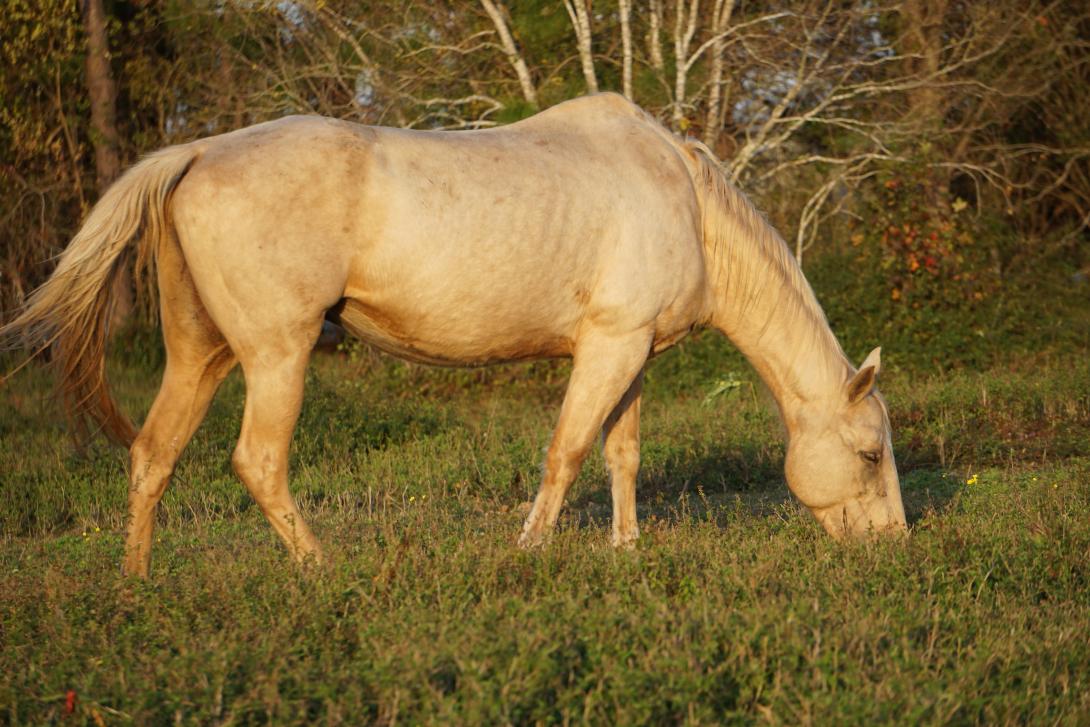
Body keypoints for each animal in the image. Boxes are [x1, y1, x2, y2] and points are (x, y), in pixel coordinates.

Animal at [0, 93, 906, 575]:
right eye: (869, 454)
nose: (896, 545)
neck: (682, 198)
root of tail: (196, 151)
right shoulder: (608, 347)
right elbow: (567, 450)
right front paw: (529, 548)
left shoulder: (633, 351)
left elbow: (621, 453)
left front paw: (626, 548)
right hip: (276, 356)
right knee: (258, 461)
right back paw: (322, 569)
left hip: (201, 355)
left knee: (152, 455)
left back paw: (137, 579)